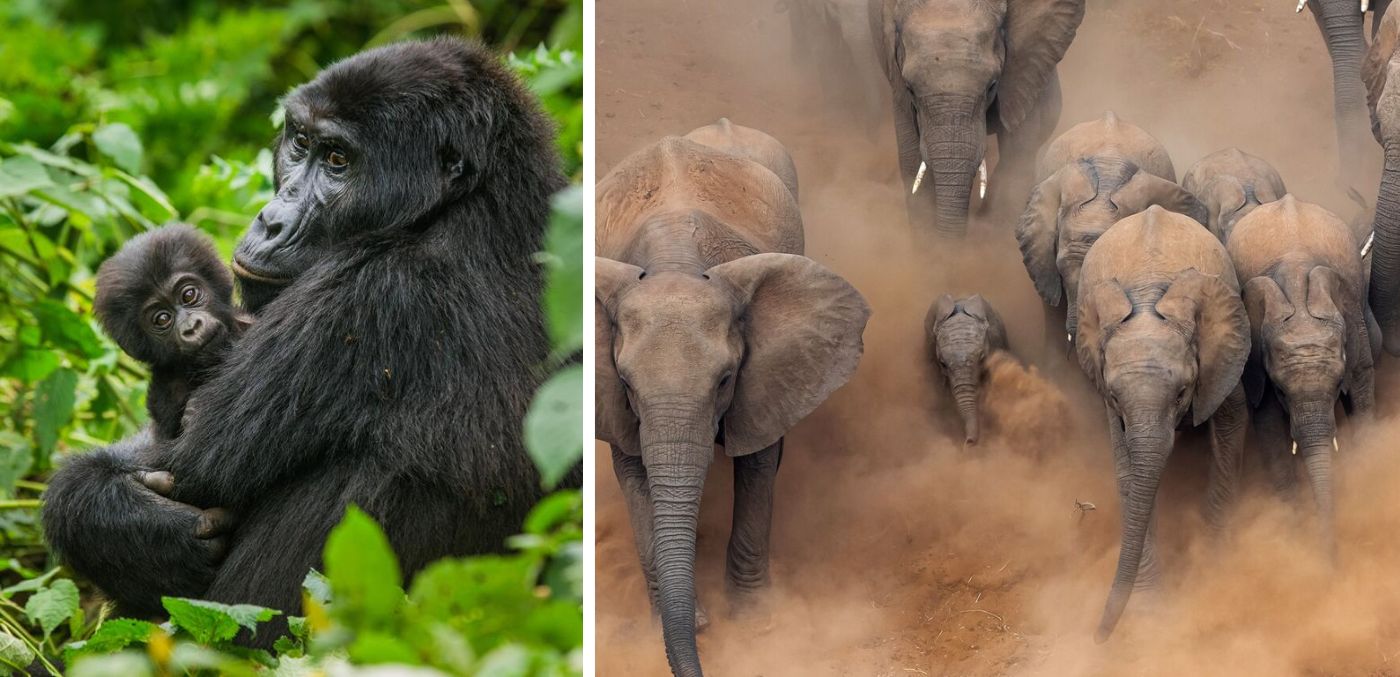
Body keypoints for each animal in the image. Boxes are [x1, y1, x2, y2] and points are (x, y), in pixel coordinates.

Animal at [595, 124, 871, 677]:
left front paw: (753, 618)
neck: (675, 264)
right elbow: (632, 473)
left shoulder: (764, 378)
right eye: (628, 385)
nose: (704, 635)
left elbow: (760, 464)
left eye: (725, 380)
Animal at [1075, 206, 1251, 641]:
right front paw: (1150, 614)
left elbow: (1230, 429)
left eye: (1182, 392)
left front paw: (1215, 564)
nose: (1098, 637)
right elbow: (1128, 471)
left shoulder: (1222, 357)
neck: (1147, 296)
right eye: (1115, 397)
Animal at [1226, 195, 1374, 554]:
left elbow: (1363, 397)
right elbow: (1268, 428)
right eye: (1280, 391)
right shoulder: (1256, 363)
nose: (1332, 561)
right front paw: (1295, 533)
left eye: (1337, 386)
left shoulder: (1355, 324)